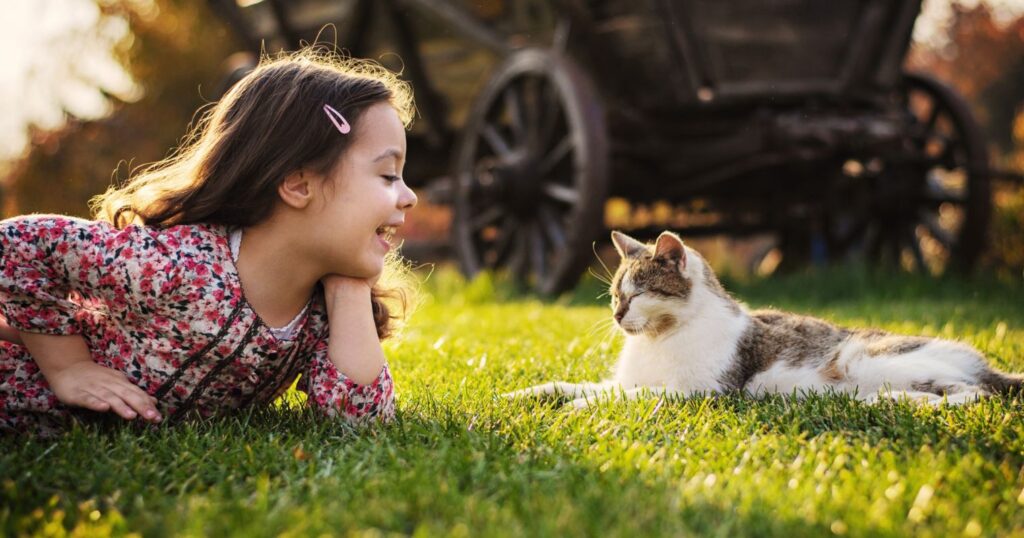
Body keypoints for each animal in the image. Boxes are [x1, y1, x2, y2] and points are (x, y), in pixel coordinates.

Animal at [507, 227, 1019, 407]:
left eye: (636, 295)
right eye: (615, 295)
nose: (616, 316)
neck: (659, 339)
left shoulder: (702, 392)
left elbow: (634, 396)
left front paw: (578, 408)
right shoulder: (622, 380)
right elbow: (573, 386)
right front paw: (527, 394)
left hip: (865, 358)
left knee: (973, 394)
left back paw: (888, 402)